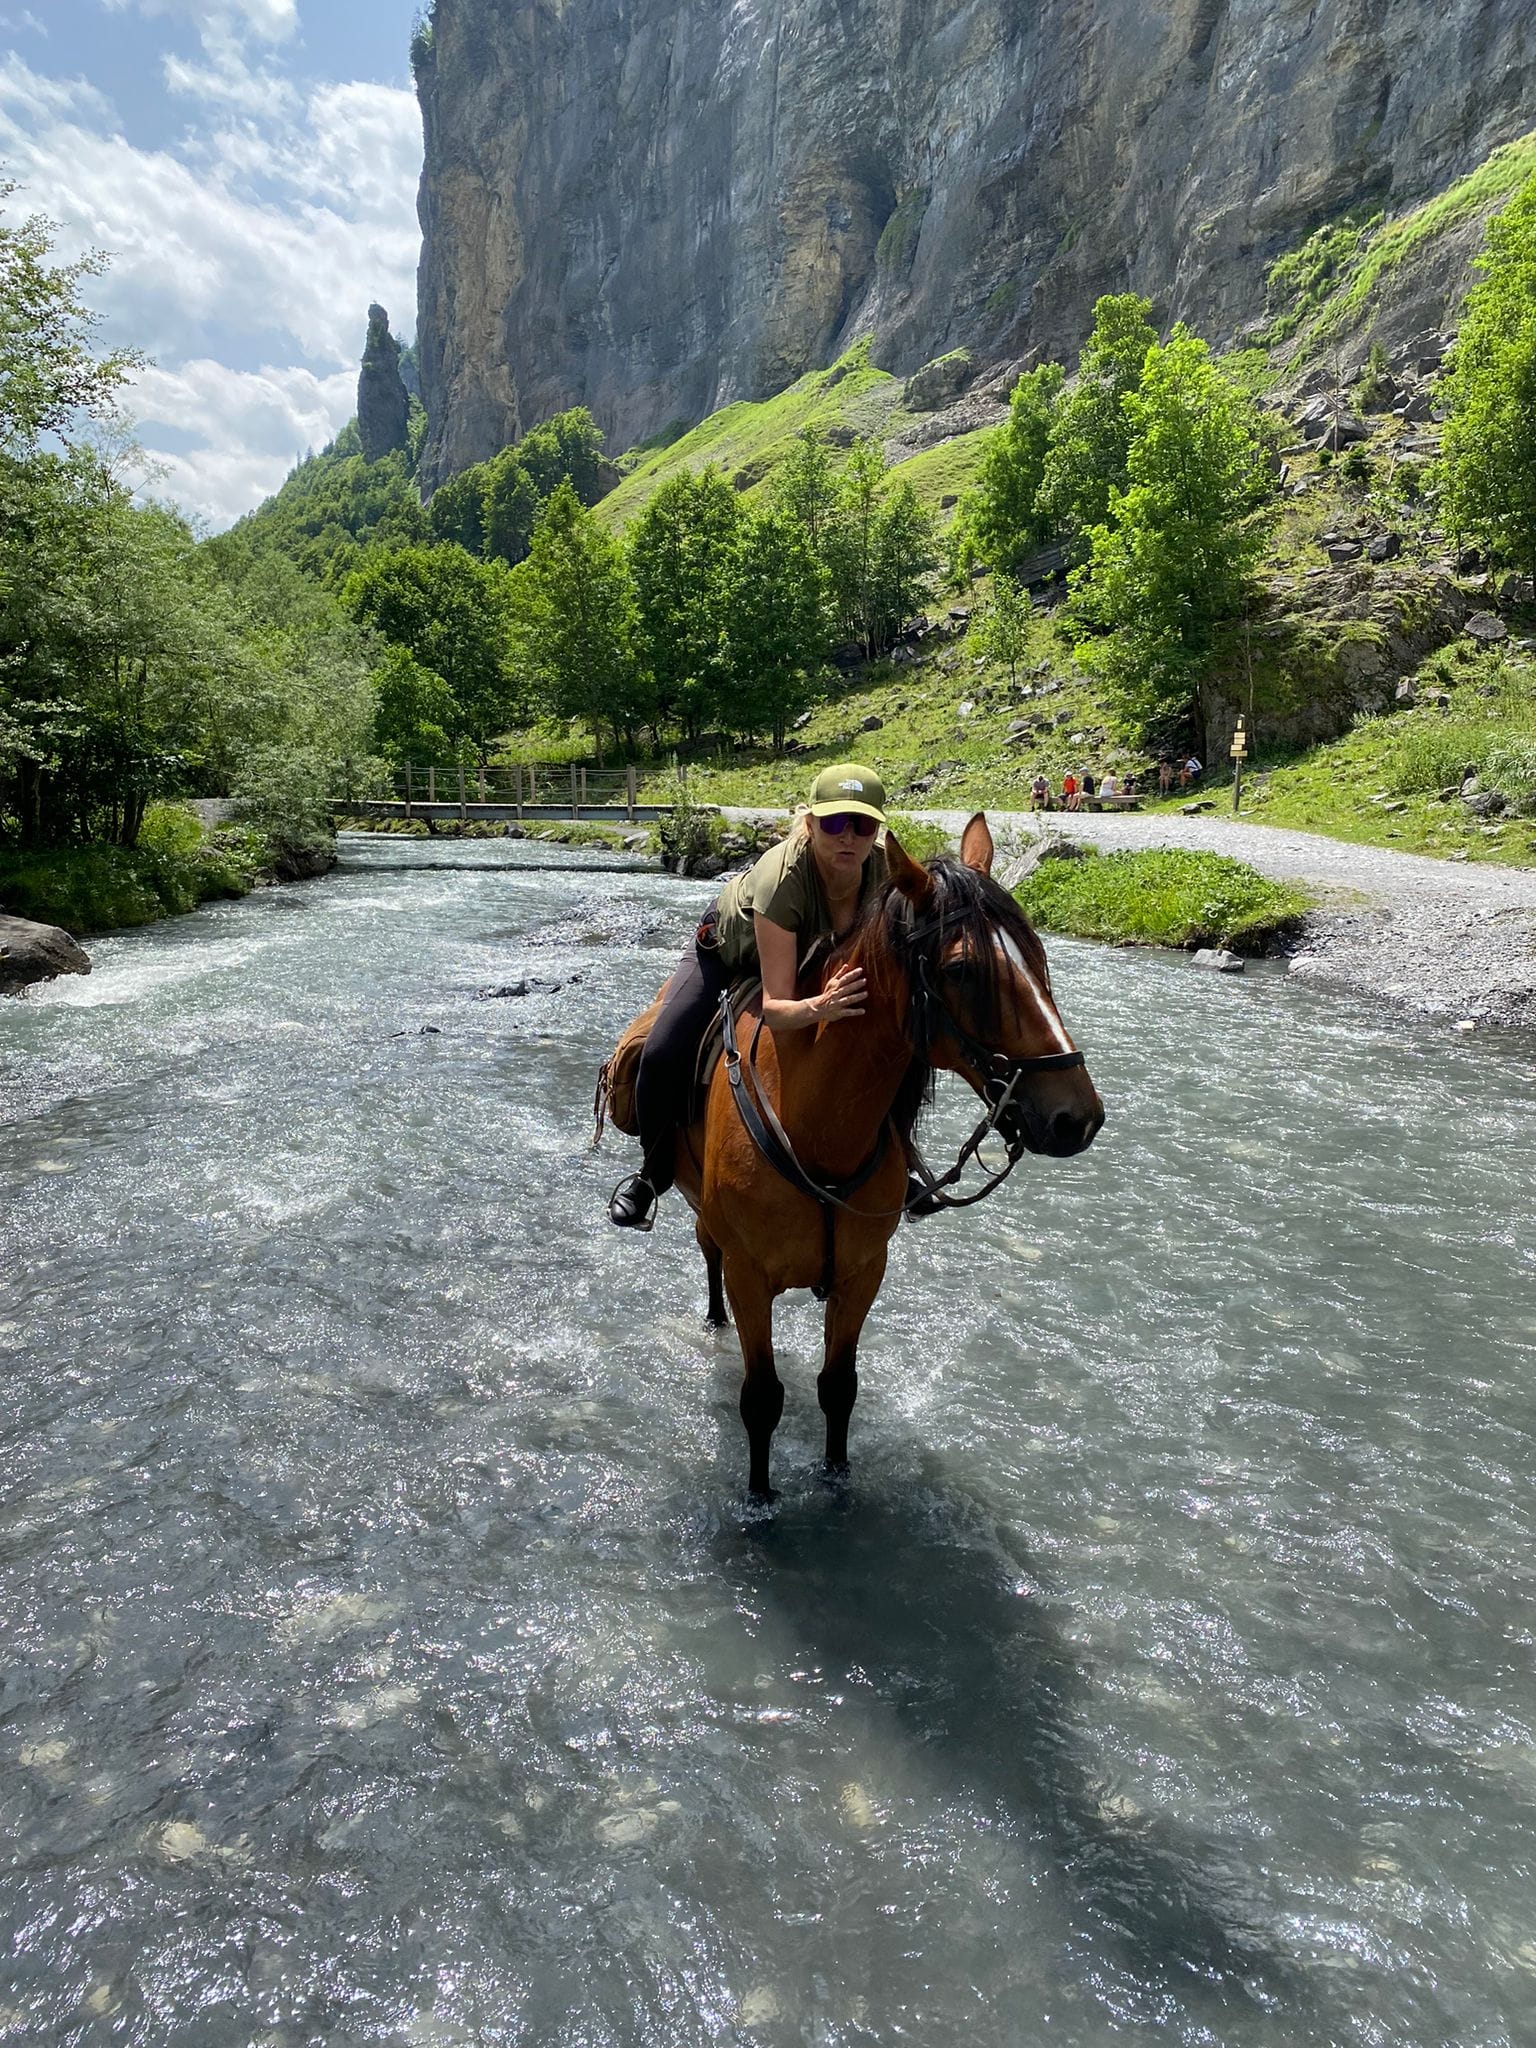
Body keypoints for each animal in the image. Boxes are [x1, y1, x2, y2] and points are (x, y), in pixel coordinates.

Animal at [671, 812, 1104, 1498]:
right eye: (961, 970)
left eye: (1038, 955)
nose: (1076, 1118)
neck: (814, 1126)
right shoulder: (749, 1276)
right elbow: (762, 1399)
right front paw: (761, 1497)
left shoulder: (862, 1274)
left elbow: (838, 1387)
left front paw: (837, 1476)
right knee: (705, 1248)